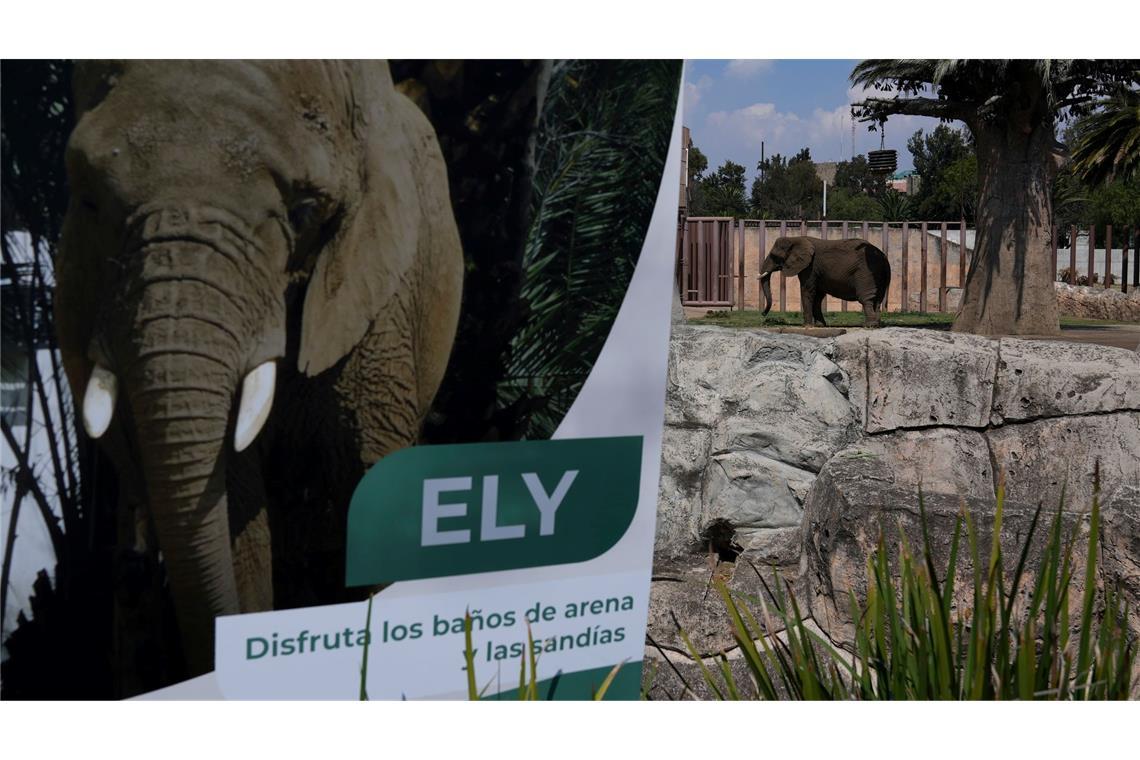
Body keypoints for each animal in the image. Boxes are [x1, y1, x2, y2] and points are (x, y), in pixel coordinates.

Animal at [761, 238, 893, 328]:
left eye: (774, 256)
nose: (763, 314)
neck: (796, 239)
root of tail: (884, 258)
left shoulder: (809, 267)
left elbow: (807, 290)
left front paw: (807, 326)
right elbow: (818, 296)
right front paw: (820, 326)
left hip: (866, 273)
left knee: (866, 298)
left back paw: (869, 325)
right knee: (878, 299)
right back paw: (876, 324)